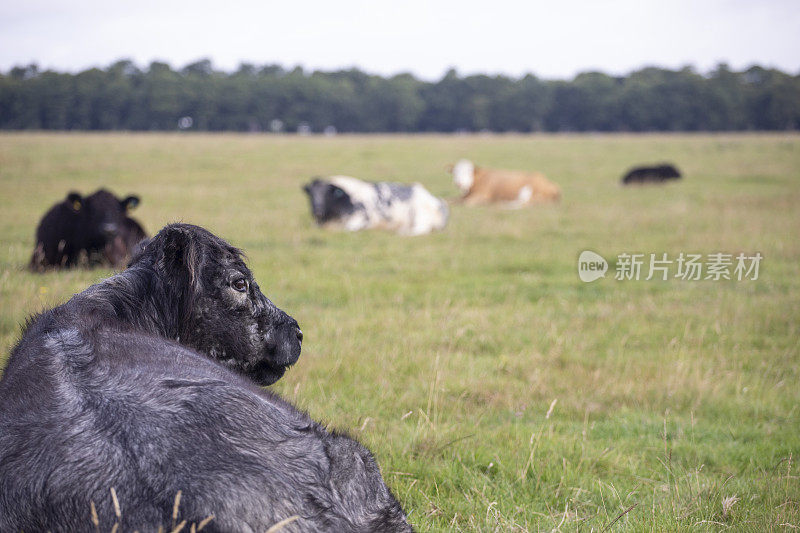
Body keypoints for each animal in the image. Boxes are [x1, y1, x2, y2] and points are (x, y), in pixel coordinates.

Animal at [304, 175, 450, 235]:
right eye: (310, 195)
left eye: (326, 194)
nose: (317, 211)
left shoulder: (362, 218)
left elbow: (348, 229)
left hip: (420, 214)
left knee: (420, 230)